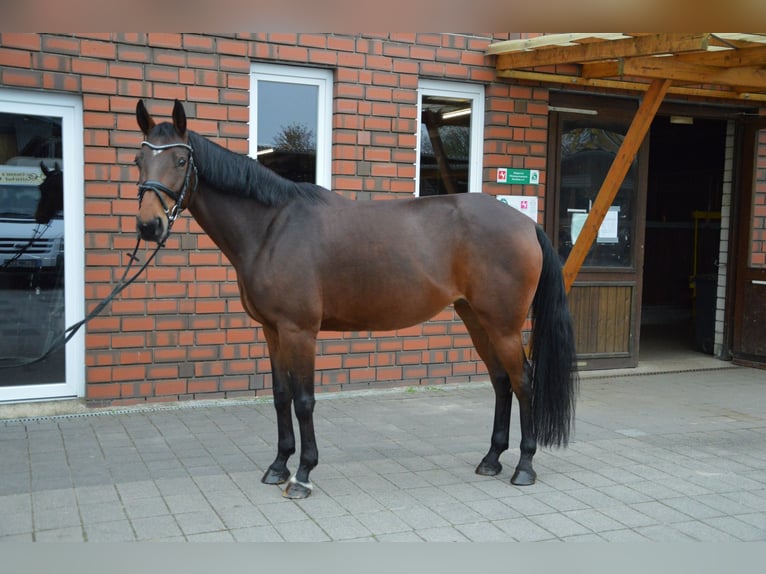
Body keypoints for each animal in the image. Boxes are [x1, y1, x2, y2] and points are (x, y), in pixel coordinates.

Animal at [134, 101, 576, 502]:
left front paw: (303, 475)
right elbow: (279, 397)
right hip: (476, 318)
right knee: (501, 382)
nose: (148, 225)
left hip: (503, 324)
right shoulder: (272, 331)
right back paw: (491, 459)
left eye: (179, 159)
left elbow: (304, 401)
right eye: (138, 159)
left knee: (522, 382)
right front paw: (278, 467)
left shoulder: (300, 331)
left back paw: (524, 466)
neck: (272, 228)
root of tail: (525, 223)